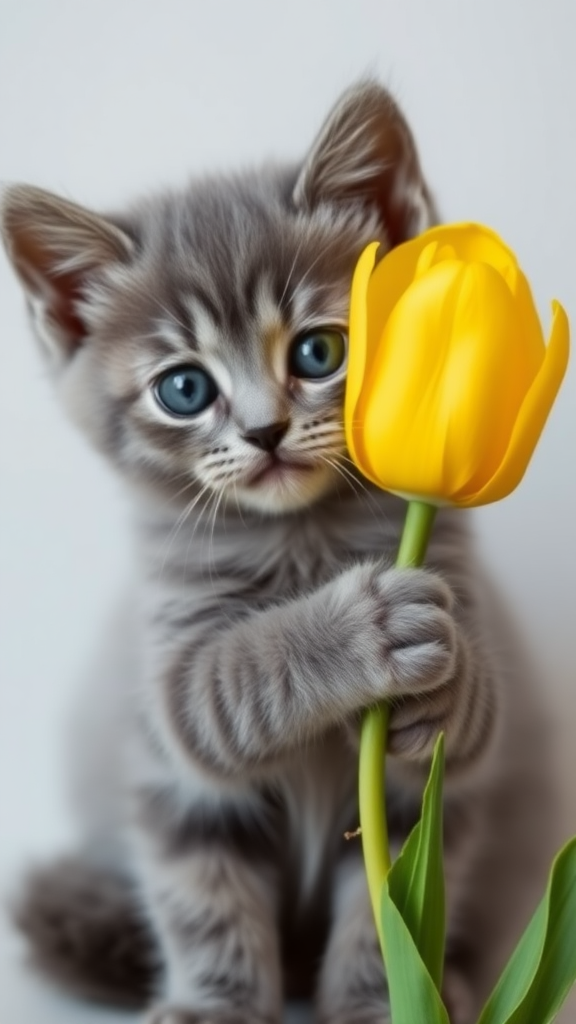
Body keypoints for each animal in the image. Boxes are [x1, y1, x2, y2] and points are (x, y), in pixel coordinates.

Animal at [2, 81, 553, 1024]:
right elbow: (229, 687)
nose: (264, 432)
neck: (302, 538)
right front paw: (361, 630)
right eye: (185, 388)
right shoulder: (170, 682)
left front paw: (377, 1004)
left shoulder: (451, 609)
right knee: (198, 888)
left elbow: (449, 776)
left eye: (319, 350)